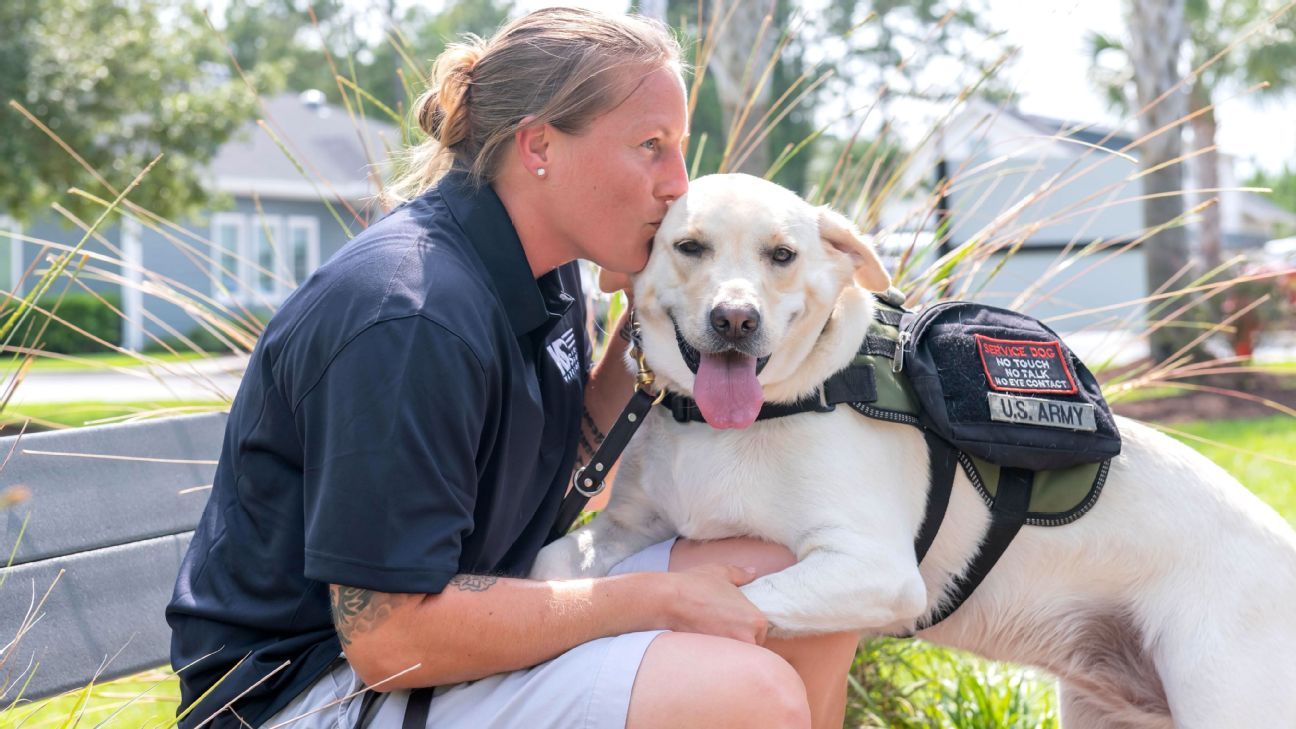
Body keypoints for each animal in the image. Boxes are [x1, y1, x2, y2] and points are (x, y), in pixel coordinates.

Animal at [531, 172, 1296, 721]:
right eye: (689, 247)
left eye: (783, 255)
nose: (735, 320)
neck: (733, 422)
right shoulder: (626, 526)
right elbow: (551, 567)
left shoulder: (873, 568)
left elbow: (717, 596)